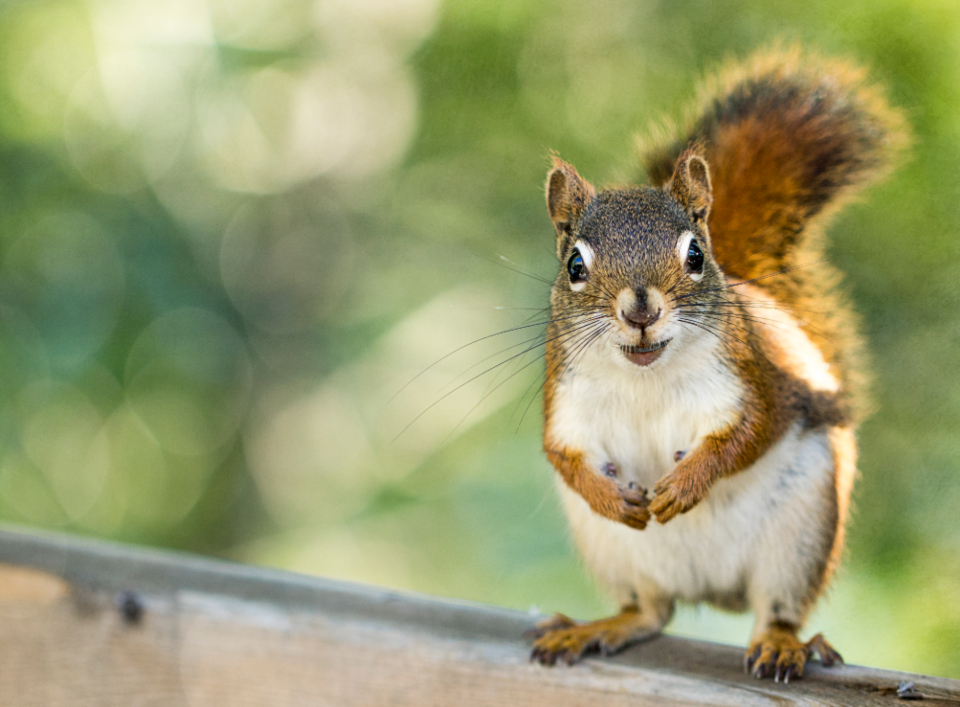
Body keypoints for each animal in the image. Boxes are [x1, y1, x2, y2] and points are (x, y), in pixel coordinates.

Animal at [527, 47, 908, 681]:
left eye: (696, 255)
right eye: (575, 265)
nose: (640, 309)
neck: (646, 376)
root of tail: (710, 590)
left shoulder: (755, 380)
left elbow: (752, 433)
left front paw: (686, 483)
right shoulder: (566, 402)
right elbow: (561, 455)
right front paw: (611, 496)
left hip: (799, 534)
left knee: (776, 608)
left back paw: (782, 644)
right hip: (615, 552)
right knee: (649, 612)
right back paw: (597, 627)